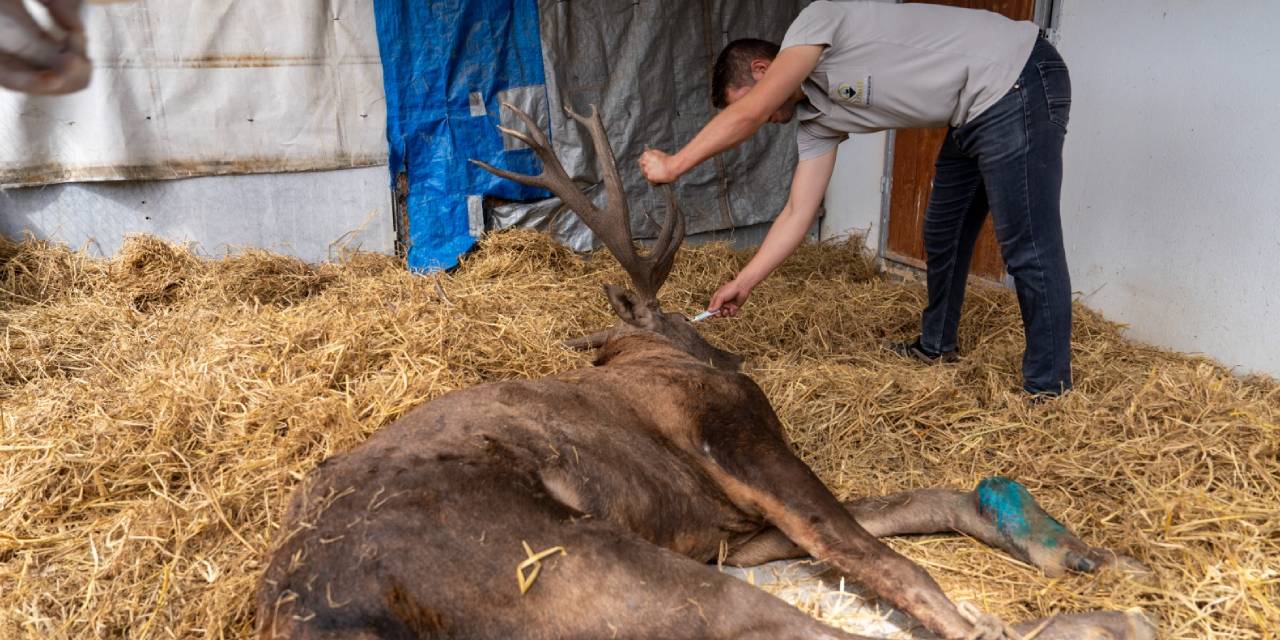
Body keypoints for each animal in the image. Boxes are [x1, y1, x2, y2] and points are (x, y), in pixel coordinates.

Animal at [254, 102, 1157, 637]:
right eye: (684, 326)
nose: (728, 348)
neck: (642, 352)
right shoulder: (739, 443)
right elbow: (879, 554)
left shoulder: (733, 527)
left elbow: (906, 507)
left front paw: (1081, 553)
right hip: (589, 566)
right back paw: (1103, 623)